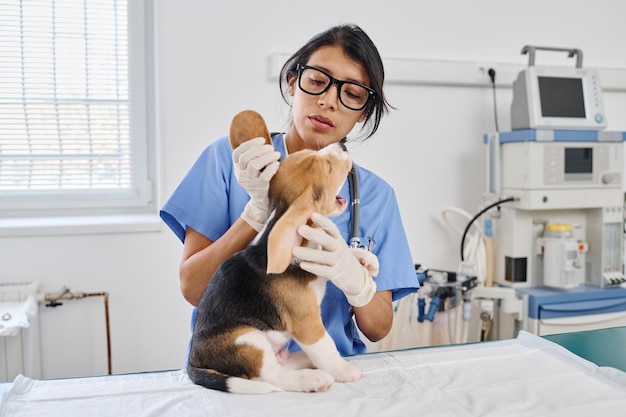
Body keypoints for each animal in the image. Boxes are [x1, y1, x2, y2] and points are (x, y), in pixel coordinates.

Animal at [185, 110, 360, 394]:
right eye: (328, 167)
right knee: (271, 376)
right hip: (247, 339)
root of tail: (193, 361)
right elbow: (326, 347)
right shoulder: (307, 322)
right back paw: (311, 378)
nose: (342, 145)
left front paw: (361, 261)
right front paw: (345, 370)